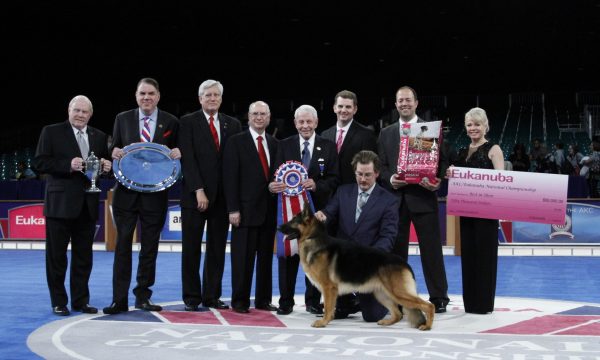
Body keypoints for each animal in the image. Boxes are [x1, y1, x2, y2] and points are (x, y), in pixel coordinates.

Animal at [278, 207, 434, 330]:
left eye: (293, 220)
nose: (278, 227)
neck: (313, 238)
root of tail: (404, 263)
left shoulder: (329, 288)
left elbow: (328, 307)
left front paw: (323, 322)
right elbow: (329, 307)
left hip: (398, 293)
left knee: (428, 305)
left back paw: (427, 326)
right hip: (382, 294)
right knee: (398, 314)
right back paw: (386, 322)